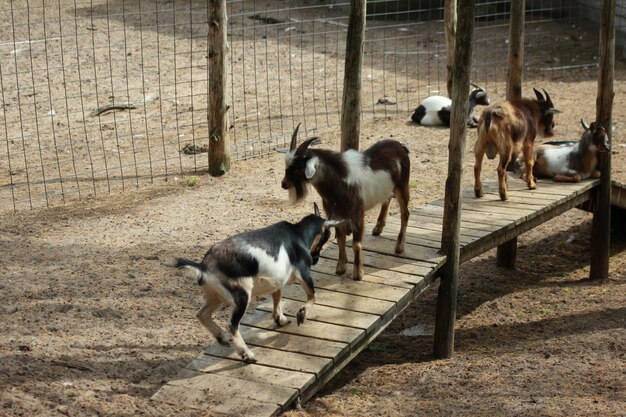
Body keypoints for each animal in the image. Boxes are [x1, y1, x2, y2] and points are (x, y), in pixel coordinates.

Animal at [173, 203, 338, 362]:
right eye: (329, 234)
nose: (315, 259)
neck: (298, 233)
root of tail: (204, 266)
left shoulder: (276, 279)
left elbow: (277, 296)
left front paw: (281, 319)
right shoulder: (303, 272)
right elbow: (313, 295)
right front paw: (302, 314)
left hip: (215, 296)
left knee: (202, 314)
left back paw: (222, 338)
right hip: (241, 295)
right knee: (232, 325)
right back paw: (246, 354)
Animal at [280, 123, 410, 280]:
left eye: (298, 167)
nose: (284, 184)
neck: (339, 181)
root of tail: (400, 146)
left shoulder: (357, 214)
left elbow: (356, 244)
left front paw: (358, 273)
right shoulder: (336, 214)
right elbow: (340, 239)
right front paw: (341, 267)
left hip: (402, 186)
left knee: (405, 213)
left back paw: (399, 246)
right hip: (389, 187)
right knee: (387, 199)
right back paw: (378, 228)